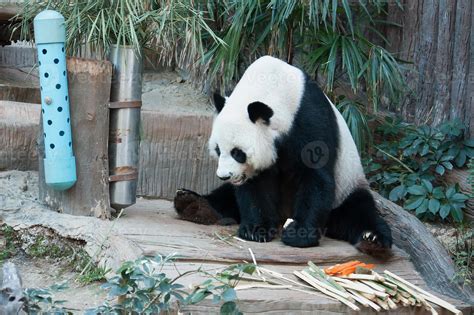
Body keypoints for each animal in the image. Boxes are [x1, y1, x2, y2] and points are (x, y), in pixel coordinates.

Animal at [174, 55, 392, 256]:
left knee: (358, 211)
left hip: (346, 185)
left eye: (238, 153)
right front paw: (256, 229)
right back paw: (193, 204)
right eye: (218, 150)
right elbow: (255, 187)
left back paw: (372, 240)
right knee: (225, 195)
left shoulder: (309, 118)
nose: (225, 175)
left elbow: (316, 176)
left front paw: (298, 234)